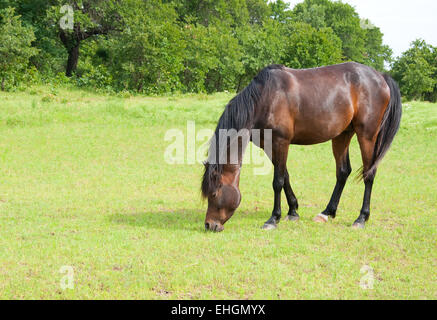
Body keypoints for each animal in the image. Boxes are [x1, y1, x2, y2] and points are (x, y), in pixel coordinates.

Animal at [201, 62, 402, 232]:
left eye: (213, 194)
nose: (210, 225)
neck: (266, 98)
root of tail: (381, 76)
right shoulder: (268, 145)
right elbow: (285, 176)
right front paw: (293, 211)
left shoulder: (280, 141)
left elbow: (277, 181)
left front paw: (274, 218)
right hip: (342, 135)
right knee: (343, 172)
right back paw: (327, 212)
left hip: (367, 135)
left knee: (369, 174)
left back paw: (361, 218)